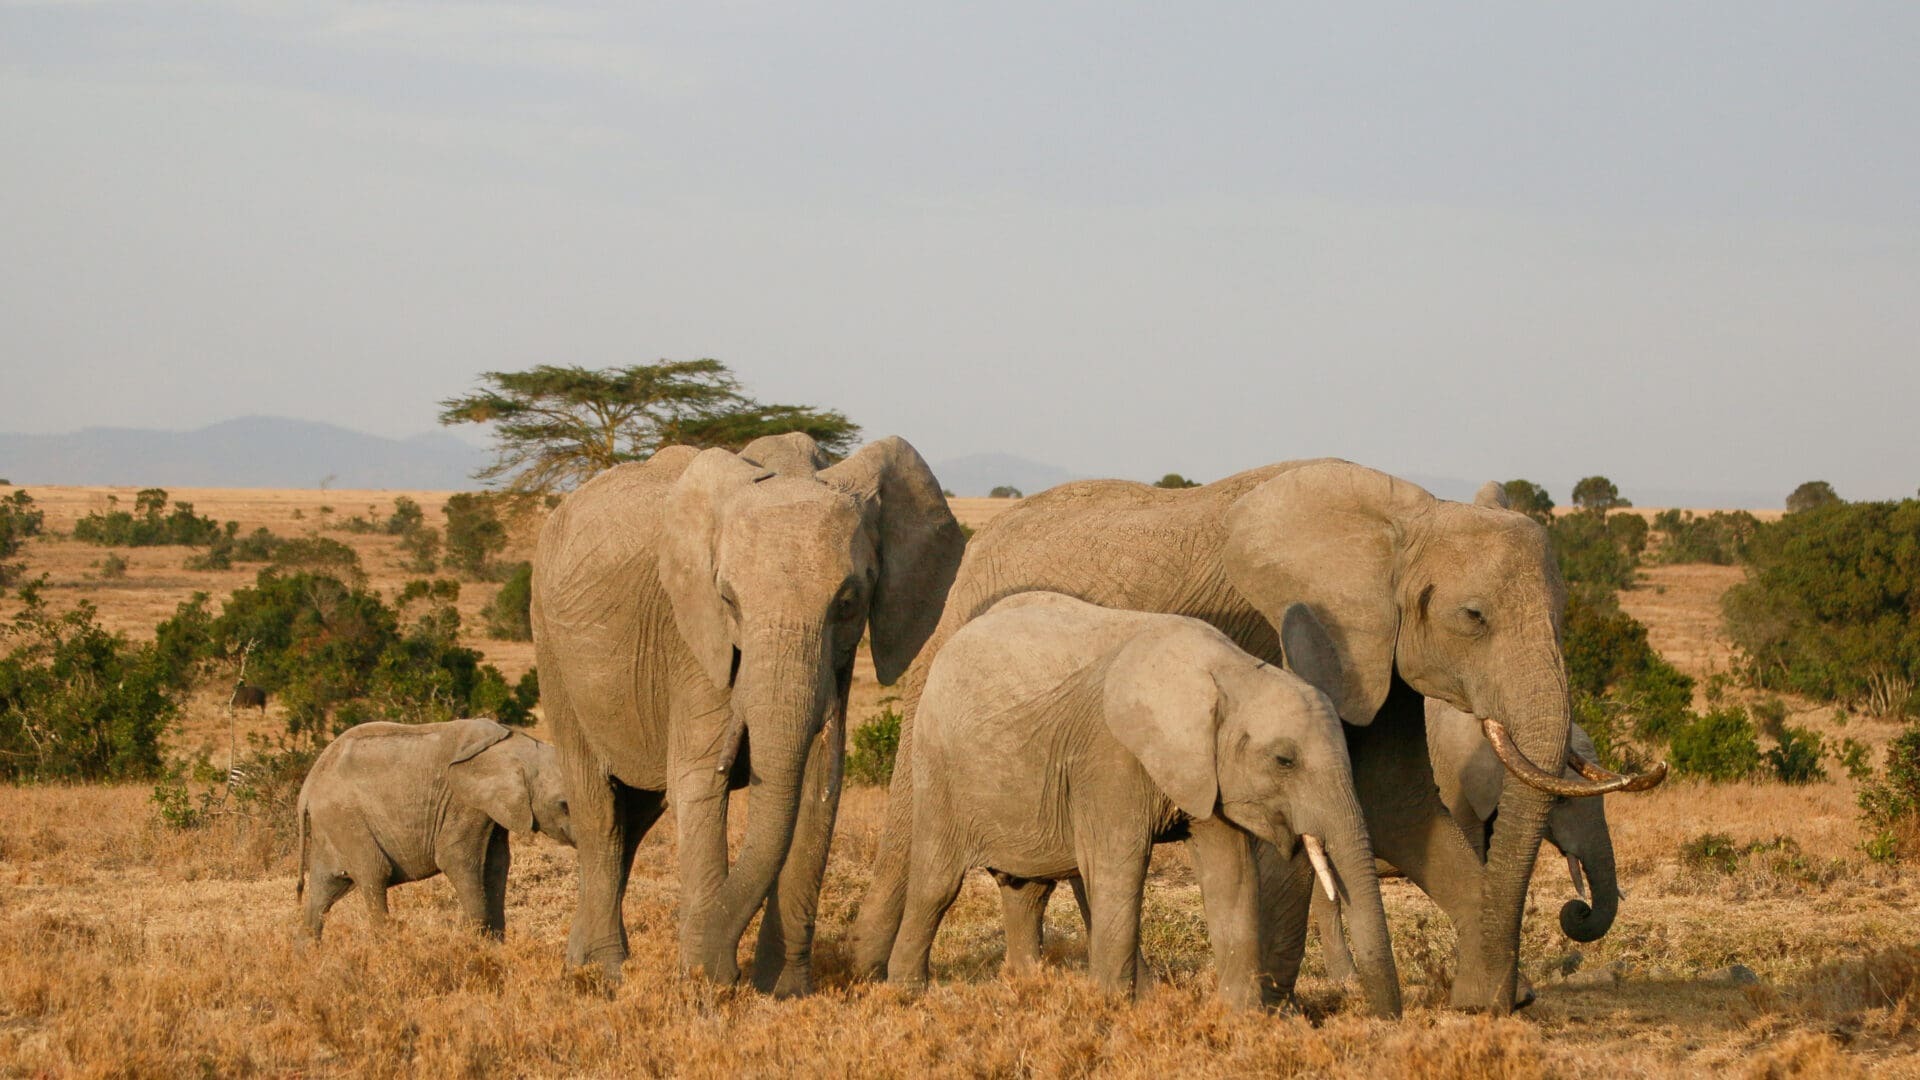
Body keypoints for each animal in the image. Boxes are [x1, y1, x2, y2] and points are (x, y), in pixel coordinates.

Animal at [296, 717, 573, 939]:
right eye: (564, 805)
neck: (514, 744)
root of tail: (307, 786)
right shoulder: (462, 803)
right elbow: (456, 859)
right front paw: (477, 946)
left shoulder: (490, 814)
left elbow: (497, 865)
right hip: (346, 820)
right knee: (374, 874)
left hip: (331, 828)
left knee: (323, 894)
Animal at [531, 433, 965, 994]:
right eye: (728, 599)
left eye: (849, 602)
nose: (722, 968)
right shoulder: (692, 641)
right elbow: (699, 779)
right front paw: (706, 983)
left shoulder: (838, 660)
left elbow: (814, 790)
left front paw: (784, 991)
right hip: (549, 643)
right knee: (600, 813)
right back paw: (608, 971)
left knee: (636, 816)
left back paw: (581, 961)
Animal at [888, 592, 1401, 1015]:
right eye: (1284, 760)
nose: (1383, 1017)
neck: (1229, 672)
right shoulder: (1110, 756)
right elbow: (1119, 869)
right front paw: (1111, 1012)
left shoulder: (1205, 773)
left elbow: (1230, 874)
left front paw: (1243, 1019)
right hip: (937, 761)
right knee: (937, 882)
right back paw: (908, 993)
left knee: (1028, 889)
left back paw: (1026, 985)